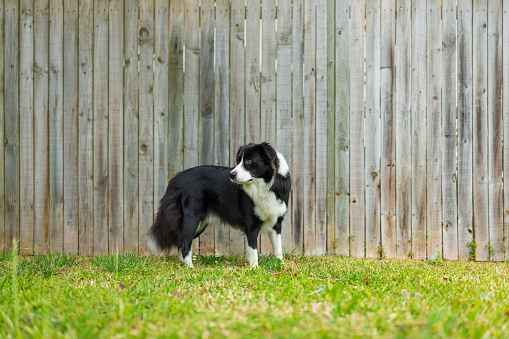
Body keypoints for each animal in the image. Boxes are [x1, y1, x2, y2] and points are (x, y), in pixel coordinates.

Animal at [147, 143, 290, 268]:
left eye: (249, 161)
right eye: (238, 161)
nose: (231, 174)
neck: (265, 185)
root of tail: (176, 178)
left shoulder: (276, 222)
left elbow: (278, 248)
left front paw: (281, 266)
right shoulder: (251, 225)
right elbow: (253, 249)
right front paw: (254, 268)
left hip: (200, 223)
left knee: (180, 241)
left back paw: (183, 264)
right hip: (192, 218)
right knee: (185, 243)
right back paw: (190, 268)